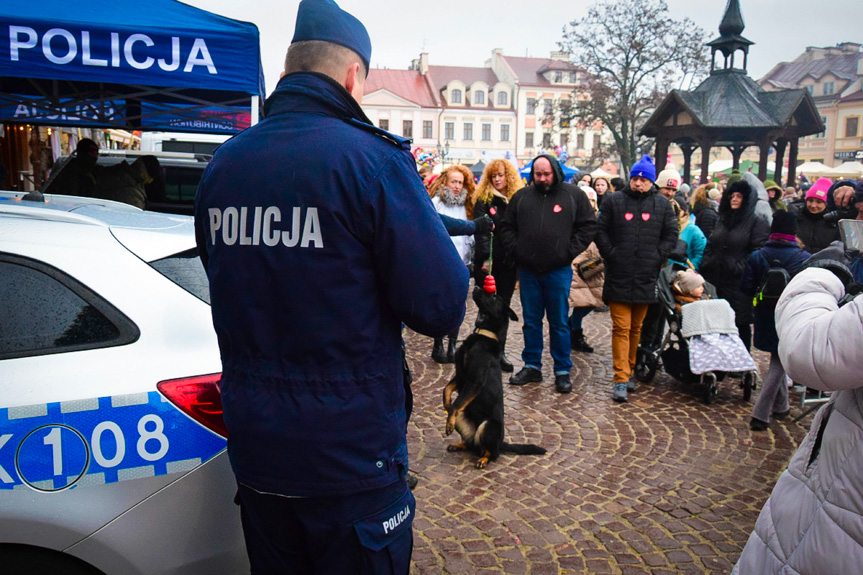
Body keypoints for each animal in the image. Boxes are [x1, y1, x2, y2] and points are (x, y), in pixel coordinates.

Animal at [446, 286, 548, 470]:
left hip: (488, 426)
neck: (483, 334)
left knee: (492, 453)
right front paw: (446, 403)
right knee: (472, 444)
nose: (476, 286)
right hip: (465, 419)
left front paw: (448, 420)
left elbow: (457, 403)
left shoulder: (475, 381)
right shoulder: (461, 375)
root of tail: (501, 442)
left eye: (493, 297)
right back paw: (459, 445)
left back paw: (484, 460)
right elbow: (447, 390)